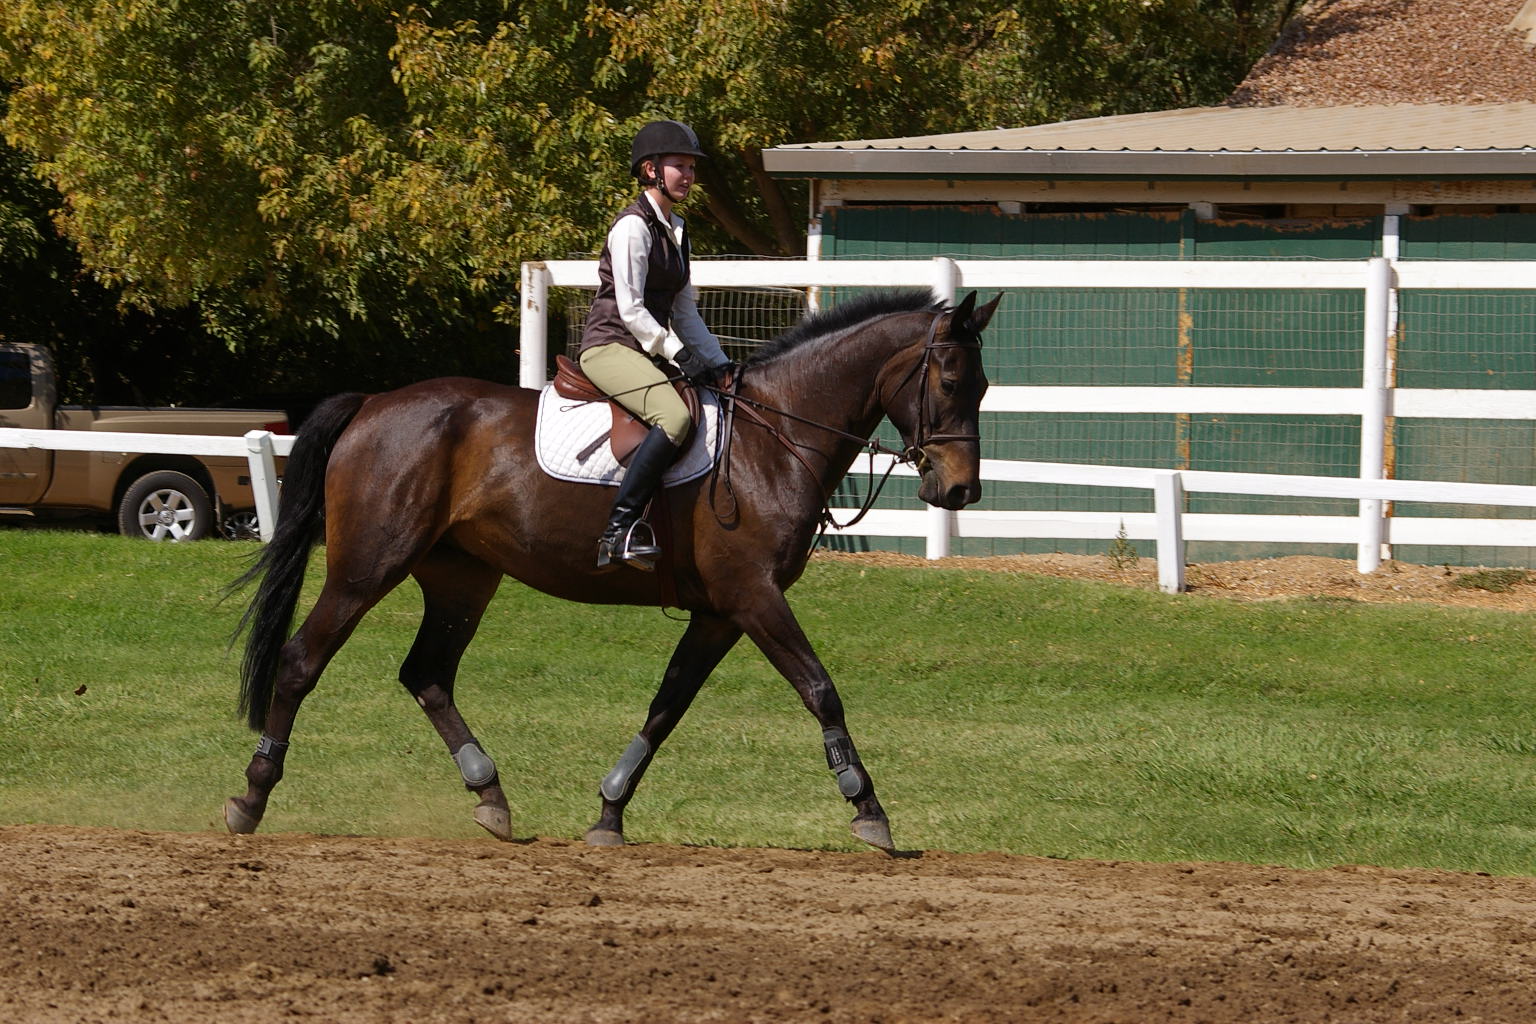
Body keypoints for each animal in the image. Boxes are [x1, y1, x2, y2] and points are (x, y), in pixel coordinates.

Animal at [222, 287, 1001, 847]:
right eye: (951, 380)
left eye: (986, 385)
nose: (960, 491)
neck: (774, 436)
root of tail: (374, 404)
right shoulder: (753, 598)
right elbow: (821, 690)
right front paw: (868, 808)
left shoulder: (719, 613)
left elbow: (667, 706)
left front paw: (608, 813)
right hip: (366, 568)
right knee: (301, 661)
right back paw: (252, 796)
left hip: (461, 578)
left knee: (428, 675)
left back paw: (490, 796)